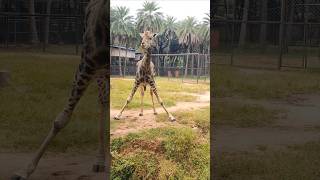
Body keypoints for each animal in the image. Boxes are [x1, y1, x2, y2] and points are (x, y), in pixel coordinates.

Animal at [11, 0, 109, 179]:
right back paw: (99, 161)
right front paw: (25, 170)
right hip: (100, 71)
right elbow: (61, 119)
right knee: (103, 101)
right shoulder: (88, 61)